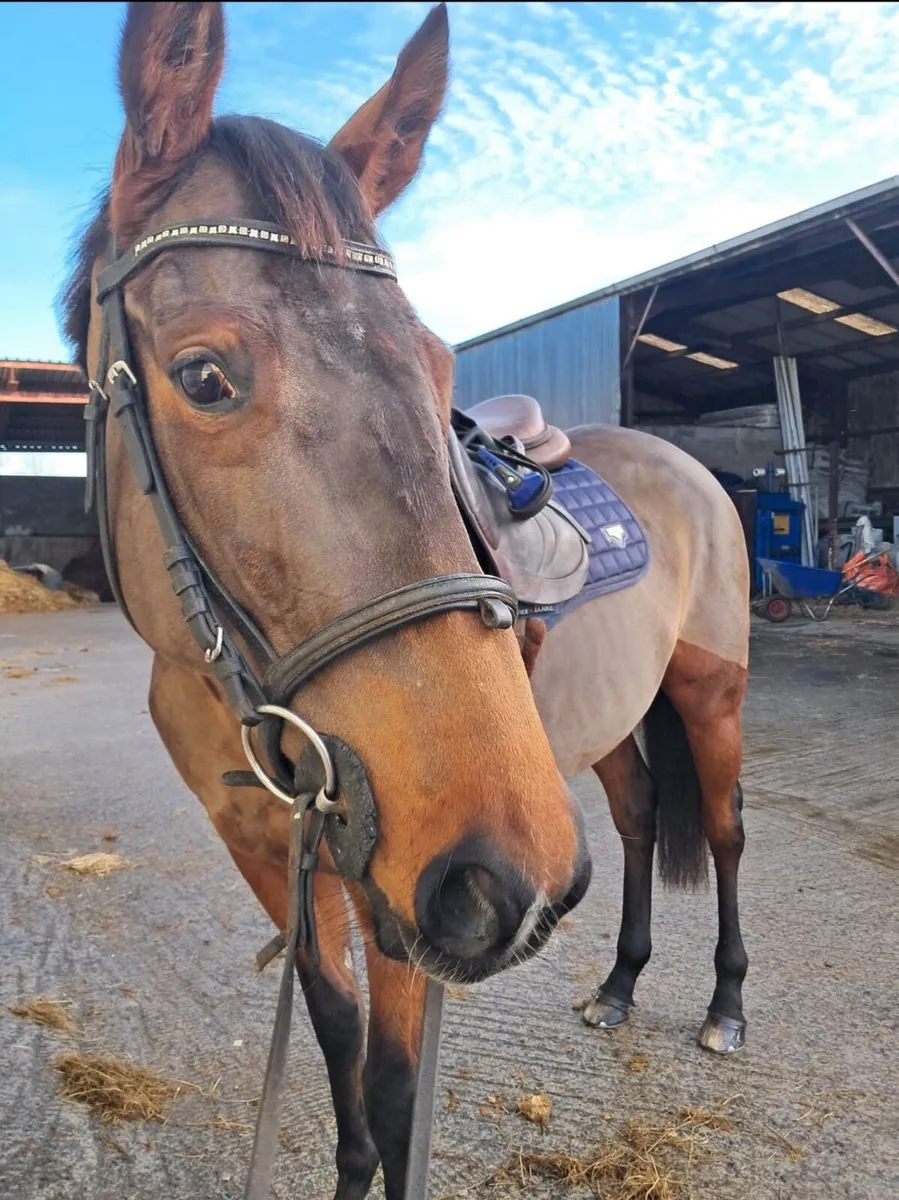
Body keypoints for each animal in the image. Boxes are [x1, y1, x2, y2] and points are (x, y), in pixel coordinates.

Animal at [61, 4, 749, 1198]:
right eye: (203, 377)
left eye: (436, 368)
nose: (508, 875)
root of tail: (687, 463)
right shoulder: (272, 854)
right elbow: (334, 1033)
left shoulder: (401, 894)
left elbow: (391, 1091)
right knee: (633, 816)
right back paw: (619, 985)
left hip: (708, 698)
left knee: (720, 830)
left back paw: (722, 1004)